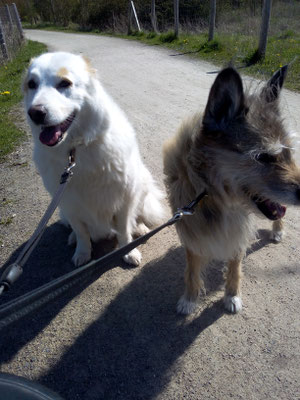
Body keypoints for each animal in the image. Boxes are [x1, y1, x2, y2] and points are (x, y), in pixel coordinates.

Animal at [23, 51, 164, 268]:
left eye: (64, 83)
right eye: (32, 84)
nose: (35, 113)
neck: (76, 149)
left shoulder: (123, 200)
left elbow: (124, 230)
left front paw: (128, 251)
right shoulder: (69, 204)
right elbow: (82, 233)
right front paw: (82, 253)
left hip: (141, 186)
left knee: (137, 216)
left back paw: (139, 228)